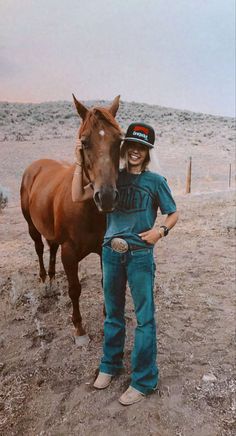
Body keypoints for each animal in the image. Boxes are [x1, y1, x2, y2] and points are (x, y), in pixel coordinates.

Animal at [20, 94, 121, 344]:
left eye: (119, 141)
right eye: (84, 142)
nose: (106, 197)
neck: (86, 209)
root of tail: (36, 165)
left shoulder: (103, 248)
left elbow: (106, 284)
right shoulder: (69, 252)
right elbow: (74, 288)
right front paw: (79, 329)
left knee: (51, 248)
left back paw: (53, 280)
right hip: (32, 227)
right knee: (39, 249)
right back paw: (44, 281)